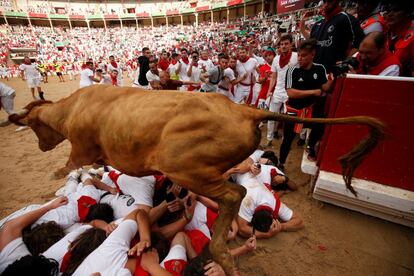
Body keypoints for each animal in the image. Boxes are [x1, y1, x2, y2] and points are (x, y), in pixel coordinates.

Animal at [8, 85, 384, 274]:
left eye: (36, 126)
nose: (41, 145)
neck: (72, 110)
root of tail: (245, 110)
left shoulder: (81, 151)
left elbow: (69, 167)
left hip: (184, 166)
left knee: (233, 194)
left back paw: (221, 254)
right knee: (236, 187)